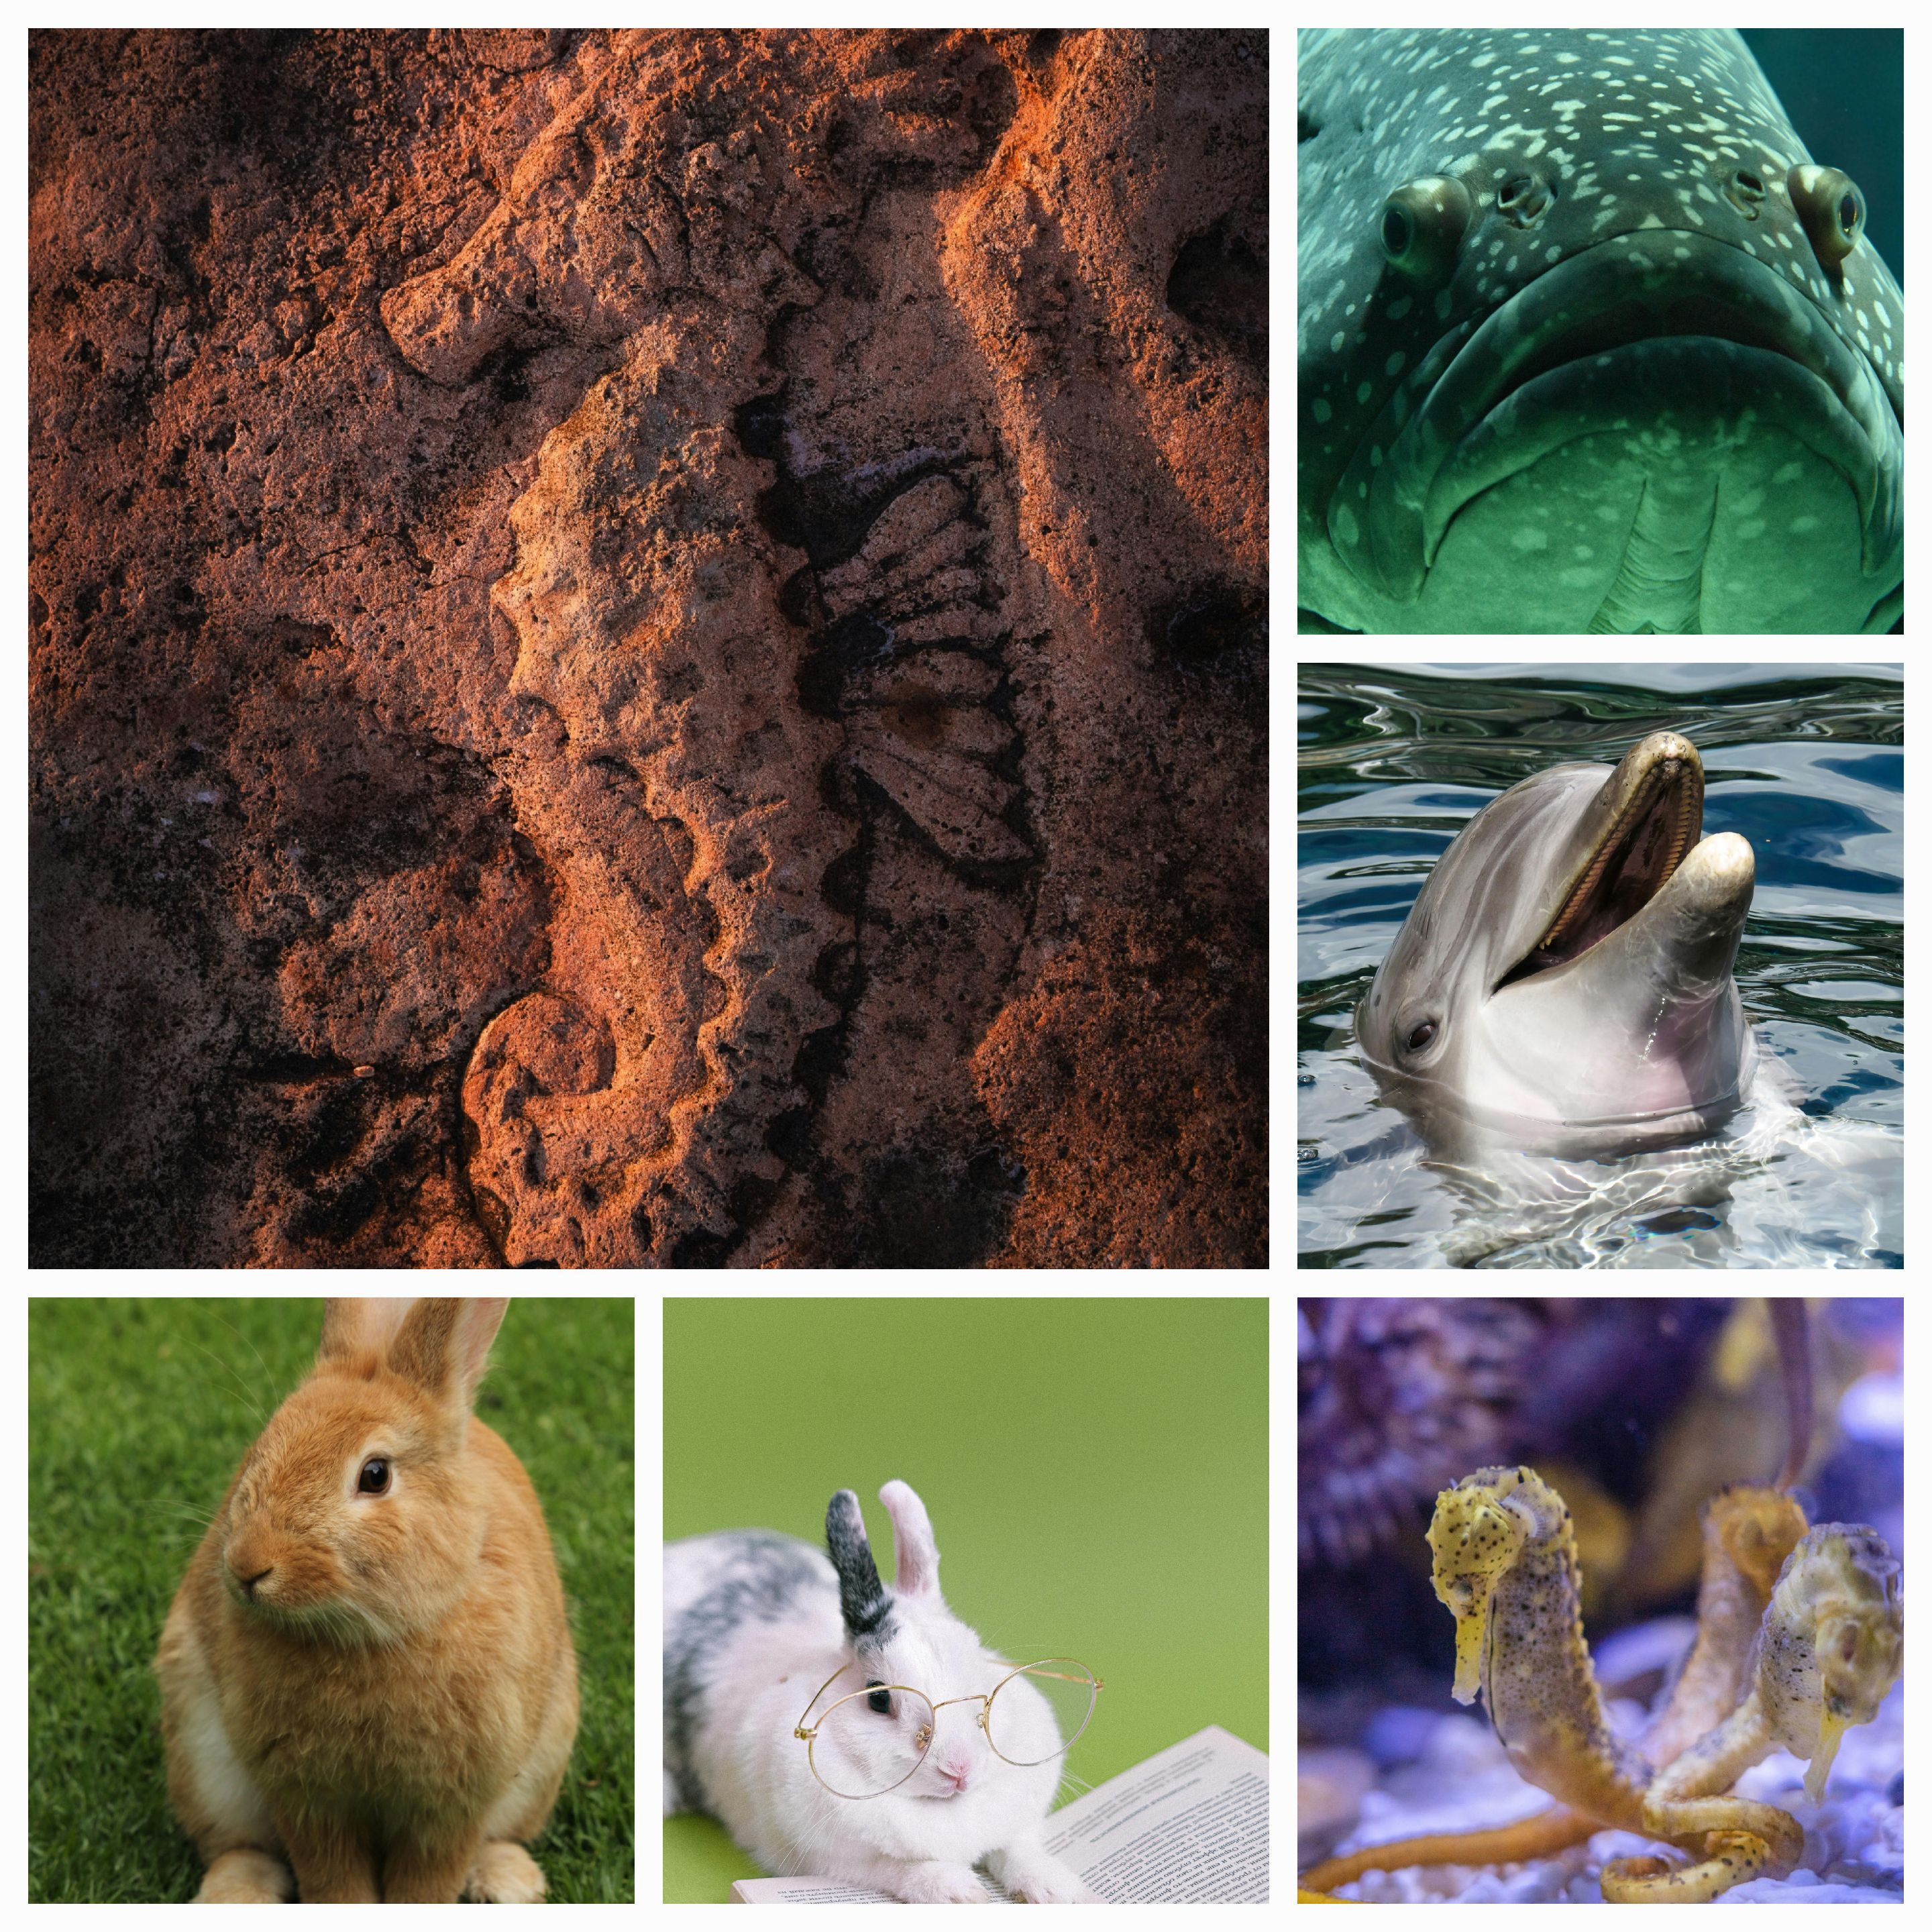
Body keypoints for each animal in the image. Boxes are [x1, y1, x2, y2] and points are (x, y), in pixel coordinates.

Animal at [153, 1298, 579, 1903]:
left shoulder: (451, 1808)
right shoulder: (308, 1801)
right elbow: (334, 1880)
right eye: (261, 1447)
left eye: (375, 1475)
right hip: (204, 1765)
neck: (367, 1638)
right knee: (239, 1845)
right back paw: (236, 1894)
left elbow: (427, 1882)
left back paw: (509, 1882)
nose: (248, 1566)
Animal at [665, 1479, 1100, 1903]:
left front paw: (1060, 1891)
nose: (959, 1769)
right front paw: (960, 1893)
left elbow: (1017, 1850)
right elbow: (900, 1869)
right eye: (878, 1698)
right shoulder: (833, 1860)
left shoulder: (1013, 1826)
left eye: (978, 1668)